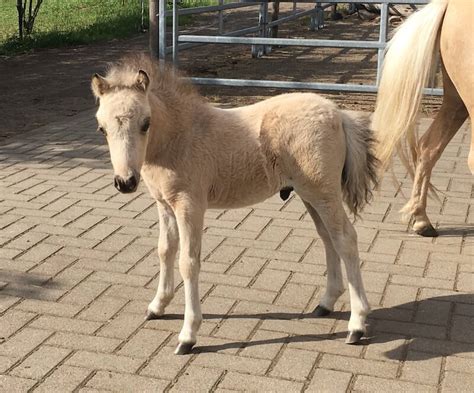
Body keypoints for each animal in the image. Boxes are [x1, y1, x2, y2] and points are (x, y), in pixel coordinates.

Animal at [91, 53, 378, 354]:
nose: (125, 182)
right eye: (102, 128)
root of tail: (338, 113)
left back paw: (357, 324)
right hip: (311, 194)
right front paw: (157, 306)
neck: (179, 138)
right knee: (327, 237)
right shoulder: (165, 205)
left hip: (324, 193)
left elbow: (188, 262)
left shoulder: (190, 205)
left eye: (146, 123)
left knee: (345, 239)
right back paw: (325, 303)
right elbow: (165, 250)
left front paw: (188, 335)